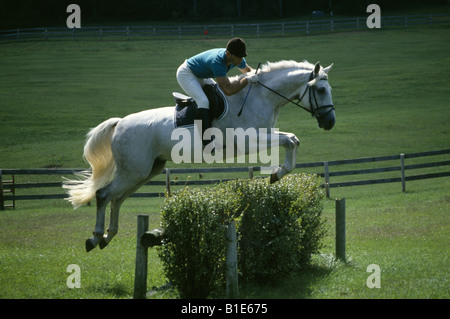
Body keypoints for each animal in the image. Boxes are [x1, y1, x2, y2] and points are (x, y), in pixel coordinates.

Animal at [65, 60, 336, 252]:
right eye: (322, 89)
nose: (330, 122)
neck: (259, 98)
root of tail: (120, 123)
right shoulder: (249, 140)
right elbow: (290, 139)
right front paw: (277, 174)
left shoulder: (265, 135)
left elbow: (292, 139)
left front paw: (278, 174)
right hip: (135, 170)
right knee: (104, 195)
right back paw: (95, 238)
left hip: (146, 170)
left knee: (117, 198)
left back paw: (108, 236)